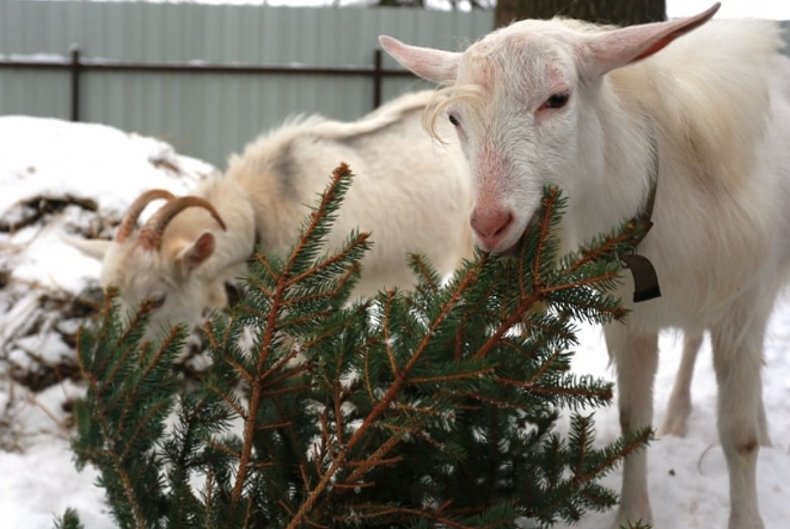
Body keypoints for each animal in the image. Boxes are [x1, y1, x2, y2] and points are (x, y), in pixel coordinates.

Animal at [382, 3, 784, 524]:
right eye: (455, 117)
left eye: (557, 98)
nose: (490, 224)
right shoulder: (632, 320)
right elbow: (634, 420)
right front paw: (633, 516)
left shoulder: (741, 306)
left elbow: (738, 436)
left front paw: (748, 517)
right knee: (695, 341)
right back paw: (678, 415)